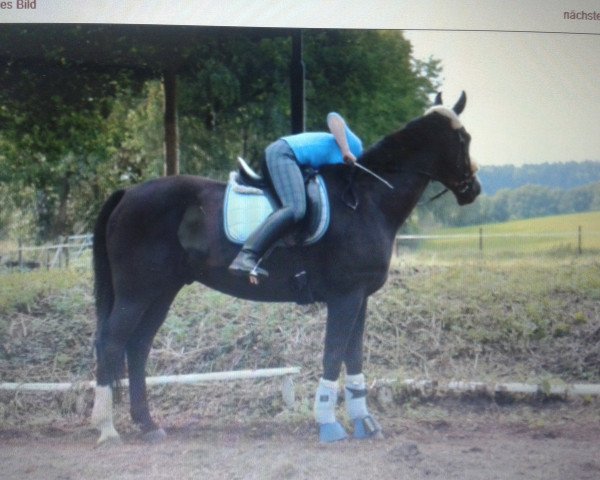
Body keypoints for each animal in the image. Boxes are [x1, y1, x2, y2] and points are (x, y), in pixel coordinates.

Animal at [91, 92, 480, 444]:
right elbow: (333, 355)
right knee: (111, 343)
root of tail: (127, 193)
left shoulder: (360, 297)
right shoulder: (345, 297)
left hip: (161, 291)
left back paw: (148, 425)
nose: (473, 189)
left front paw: (365, 423)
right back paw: (108, 429)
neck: (368, 200)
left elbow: (353, 358)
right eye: (463, 140)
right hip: (136, 291)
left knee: (138, 347)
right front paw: (329, 425)